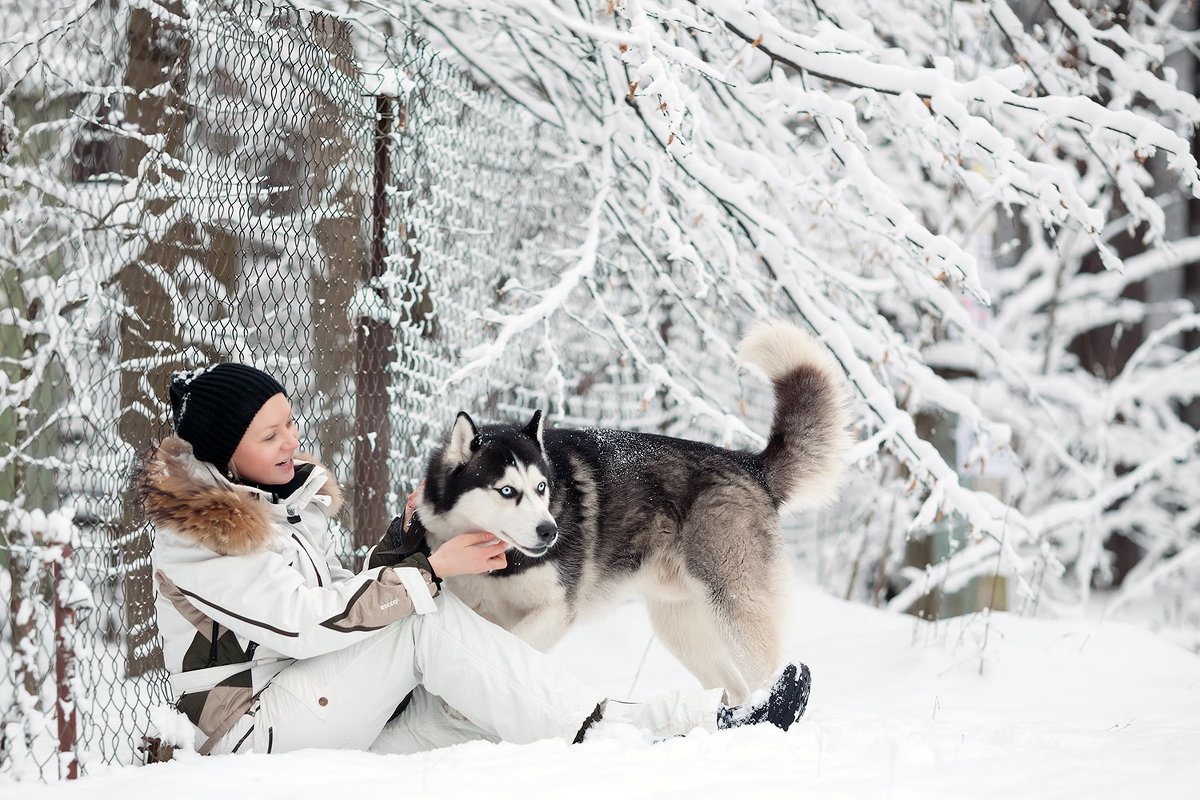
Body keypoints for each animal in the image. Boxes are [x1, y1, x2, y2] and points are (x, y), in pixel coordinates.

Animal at [410, 321, 854, 705]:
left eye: (541, 488)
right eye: (507, 491)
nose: (550, 531)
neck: (500, 562)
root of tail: (750, 465)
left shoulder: (556, 611)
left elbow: (512, 647)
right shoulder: (485, 613)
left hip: (733, 606)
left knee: (762, 671)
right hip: (679, 625)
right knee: (733, 686)